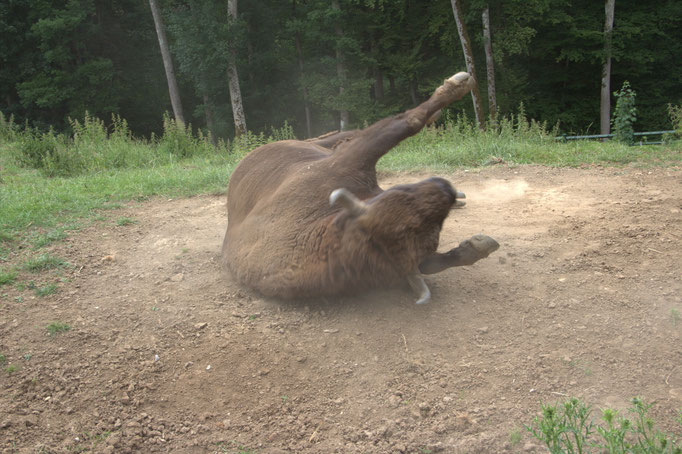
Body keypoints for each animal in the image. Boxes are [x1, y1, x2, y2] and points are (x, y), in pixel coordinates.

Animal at [220, 72, 496, 304]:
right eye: (404, 197)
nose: (445, 187)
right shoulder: (348, 160)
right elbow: (408, 121)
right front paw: (459, 83)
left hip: (324, 145)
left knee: (341, 134)